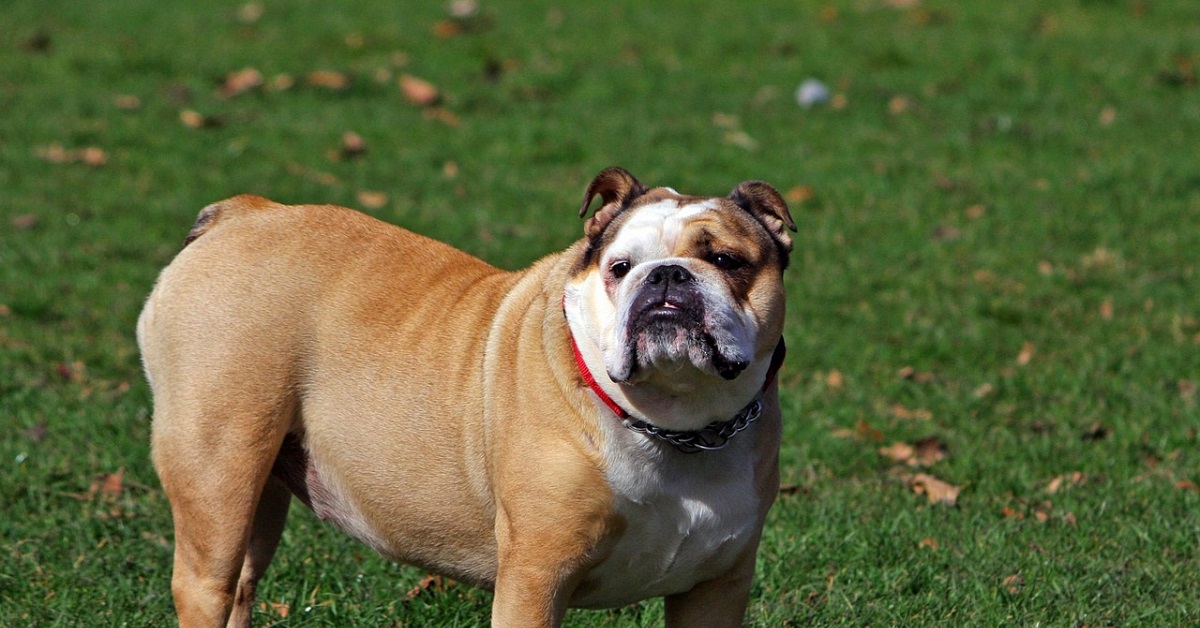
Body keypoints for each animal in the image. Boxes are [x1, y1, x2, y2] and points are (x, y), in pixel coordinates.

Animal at [138, 168, 796, 628]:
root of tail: (241, 214)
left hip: (260, 491)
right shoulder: (535, 575)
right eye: (620, 267)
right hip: (218, 469)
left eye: (726, 260)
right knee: (205, 585)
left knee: (241, 589)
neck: (676, 424)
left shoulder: (716, 589)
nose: (665, 275)